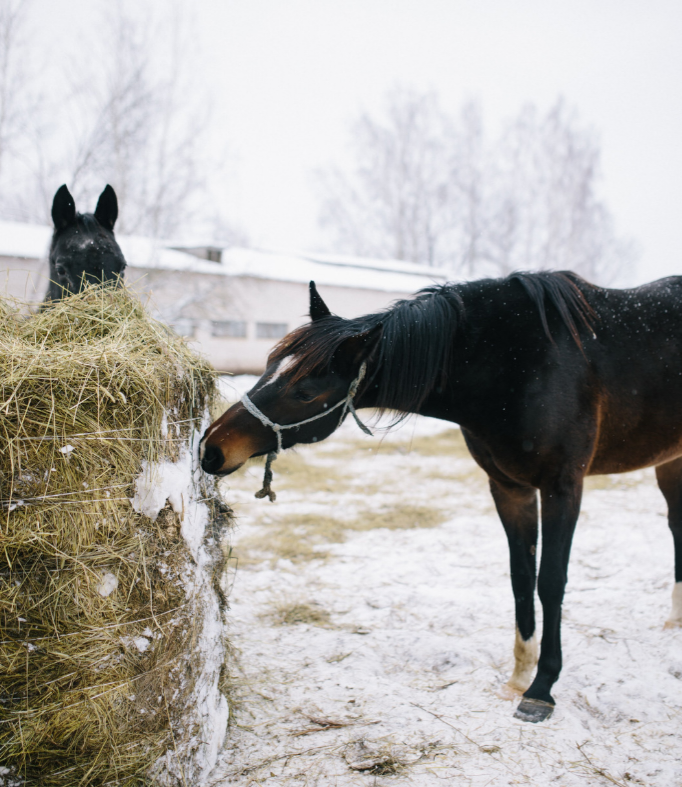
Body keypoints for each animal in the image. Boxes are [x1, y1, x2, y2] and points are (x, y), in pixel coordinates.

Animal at [198, 274, 680, 724]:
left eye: (304, 392)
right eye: (268, 365)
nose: (212, 448)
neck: (518, 361)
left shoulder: (563, 487)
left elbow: (550, 582)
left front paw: (541, 688)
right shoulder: (509, 487)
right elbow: (521, 579)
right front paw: (518, 675)